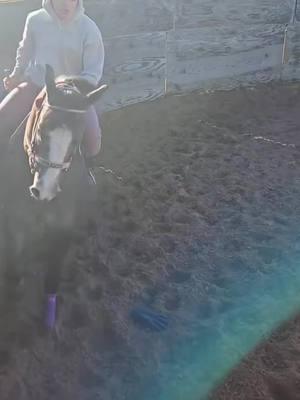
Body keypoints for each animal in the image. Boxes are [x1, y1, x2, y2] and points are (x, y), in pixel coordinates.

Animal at [0, 65, 107, 340]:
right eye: (40, 132)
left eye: (75, 142)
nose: (44, 190)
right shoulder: (15, 224)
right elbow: (14, 269)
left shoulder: (62, 226)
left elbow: (54, 272)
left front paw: (48, 321)